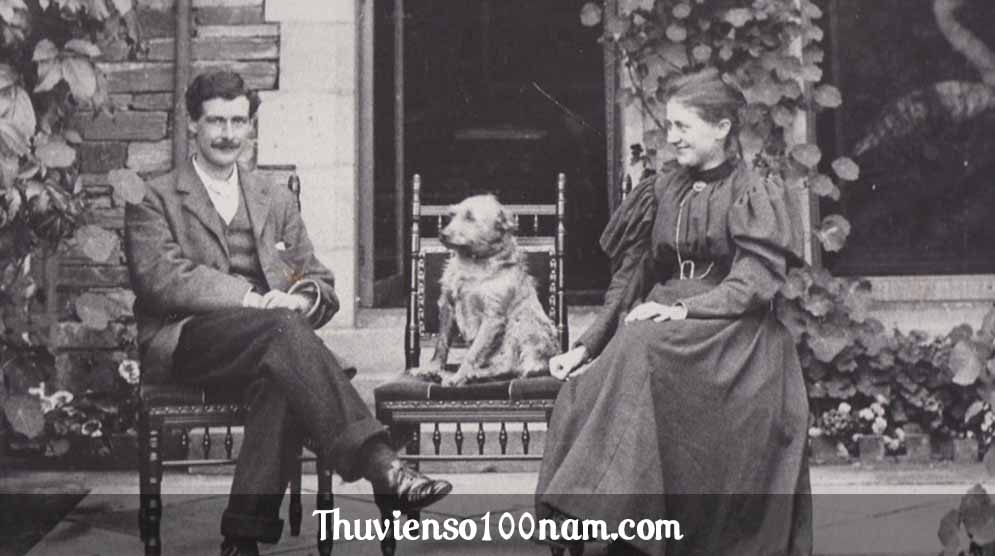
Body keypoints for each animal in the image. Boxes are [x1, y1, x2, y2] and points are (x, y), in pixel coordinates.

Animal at [411, 194, 560, 387]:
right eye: (452, 215)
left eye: (470, 217)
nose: (442, 234)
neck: (473, 261)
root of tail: (547, 361)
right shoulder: (447, 305)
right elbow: (441, 343)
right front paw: (432, 368)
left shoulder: (492, 317)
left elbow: (473, 352)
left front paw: (459, 376)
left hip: (522, 323)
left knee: (509, 366)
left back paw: (475, 374)